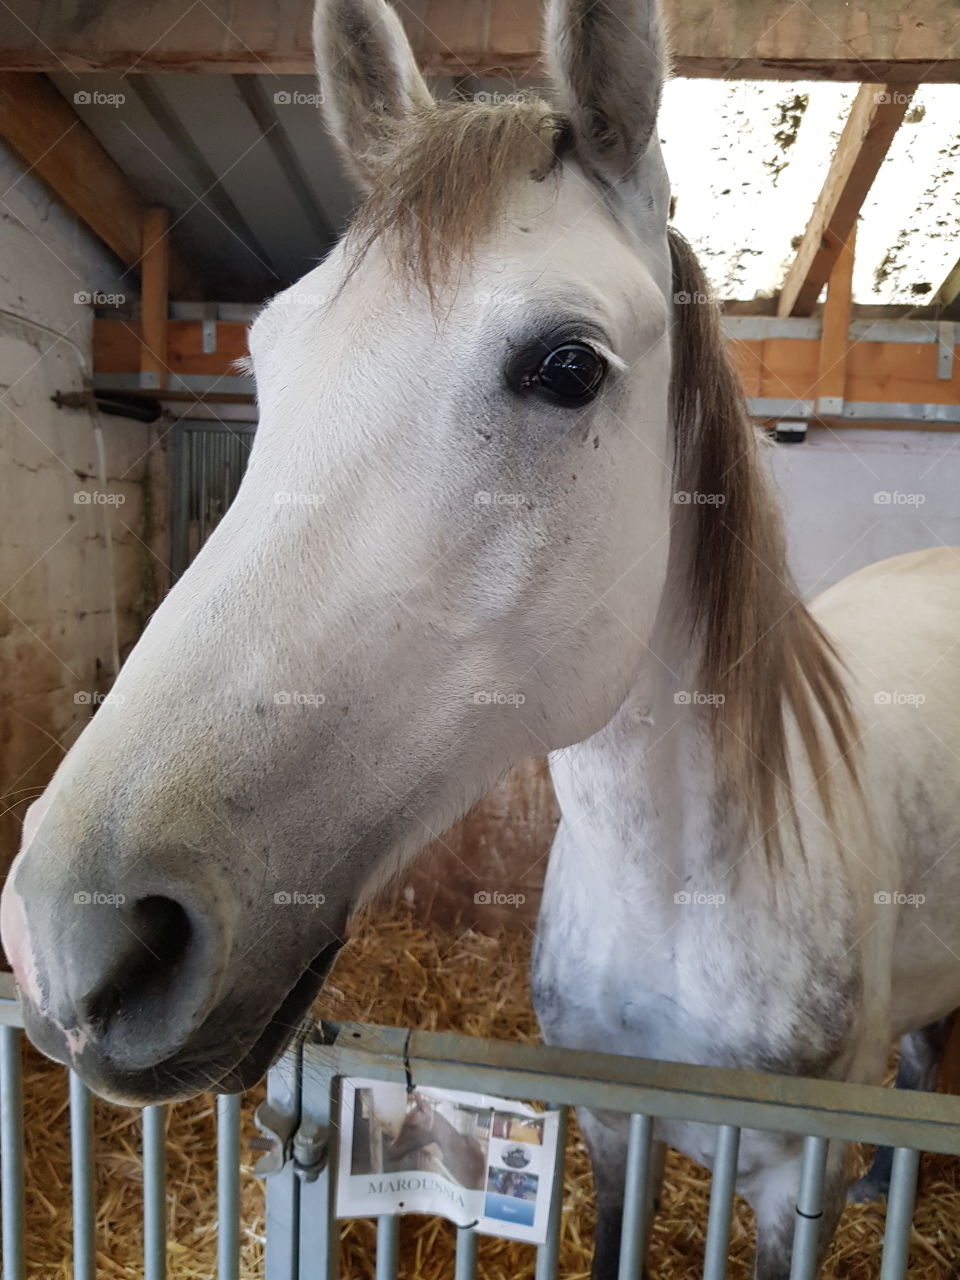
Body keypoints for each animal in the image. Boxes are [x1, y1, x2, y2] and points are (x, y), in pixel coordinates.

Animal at [3, 0, 960, 1275]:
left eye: (567, 366)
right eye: (267, 360)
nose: (73, 939)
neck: (679, 888)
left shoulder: (787, 1184)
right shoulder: (612, 1127)